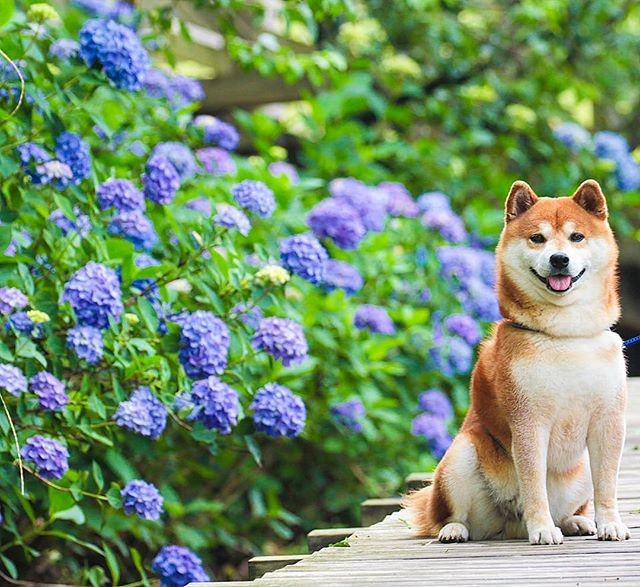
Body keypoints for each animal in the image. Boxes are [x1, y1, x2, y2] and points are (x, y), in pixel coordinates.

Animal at [404, 180, 632, 548]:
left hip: (581, 467)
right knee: (448, 514)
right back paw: (455, 530)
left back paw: (575, 522)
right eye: (537, 238)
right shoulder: (529, 422)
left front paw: (610, 523)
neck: (564, 335)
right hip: (460, 456)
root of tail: (510, 526)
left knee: (572, 505)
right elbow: (534, 484)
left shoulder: (608, 421)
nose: (559, 259)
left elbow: (608, 486)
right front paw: (542, 529)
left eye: (577, 237)